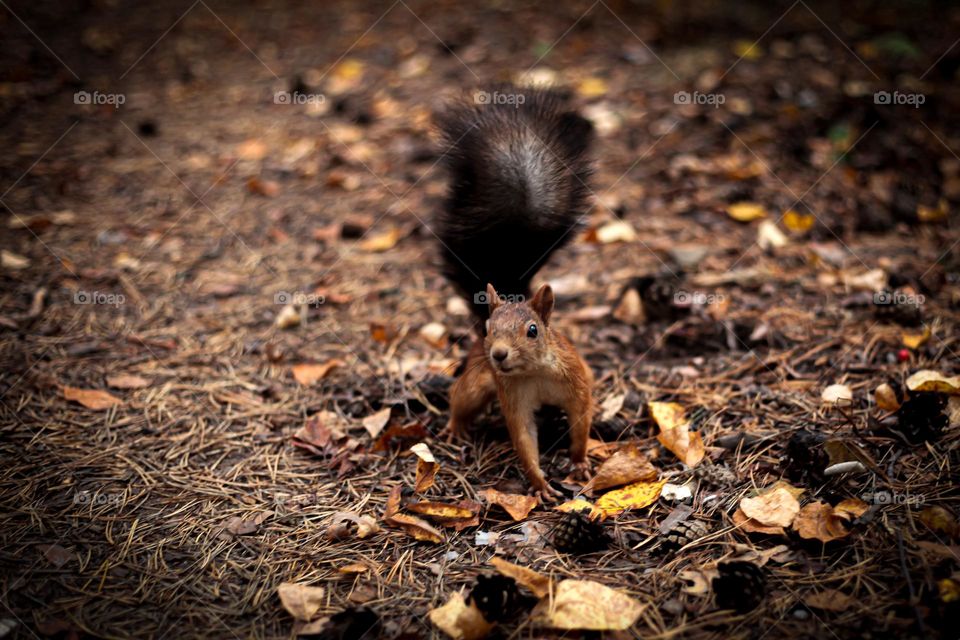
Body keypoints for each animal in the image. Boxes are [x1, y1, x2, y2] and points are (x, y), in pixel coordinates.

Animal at [434, 86, 592, 500]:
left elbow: (582, 420)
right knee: (461, 398)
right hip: (476, 380)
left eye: (533, 331)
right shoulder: (513, 398)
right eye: (490, 330)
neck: (534, 372)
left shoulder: (577, 383)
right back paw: (455, 427)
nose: (498, 354)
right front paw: (540, 483)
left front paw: (579, 461)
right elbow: (523, 438)